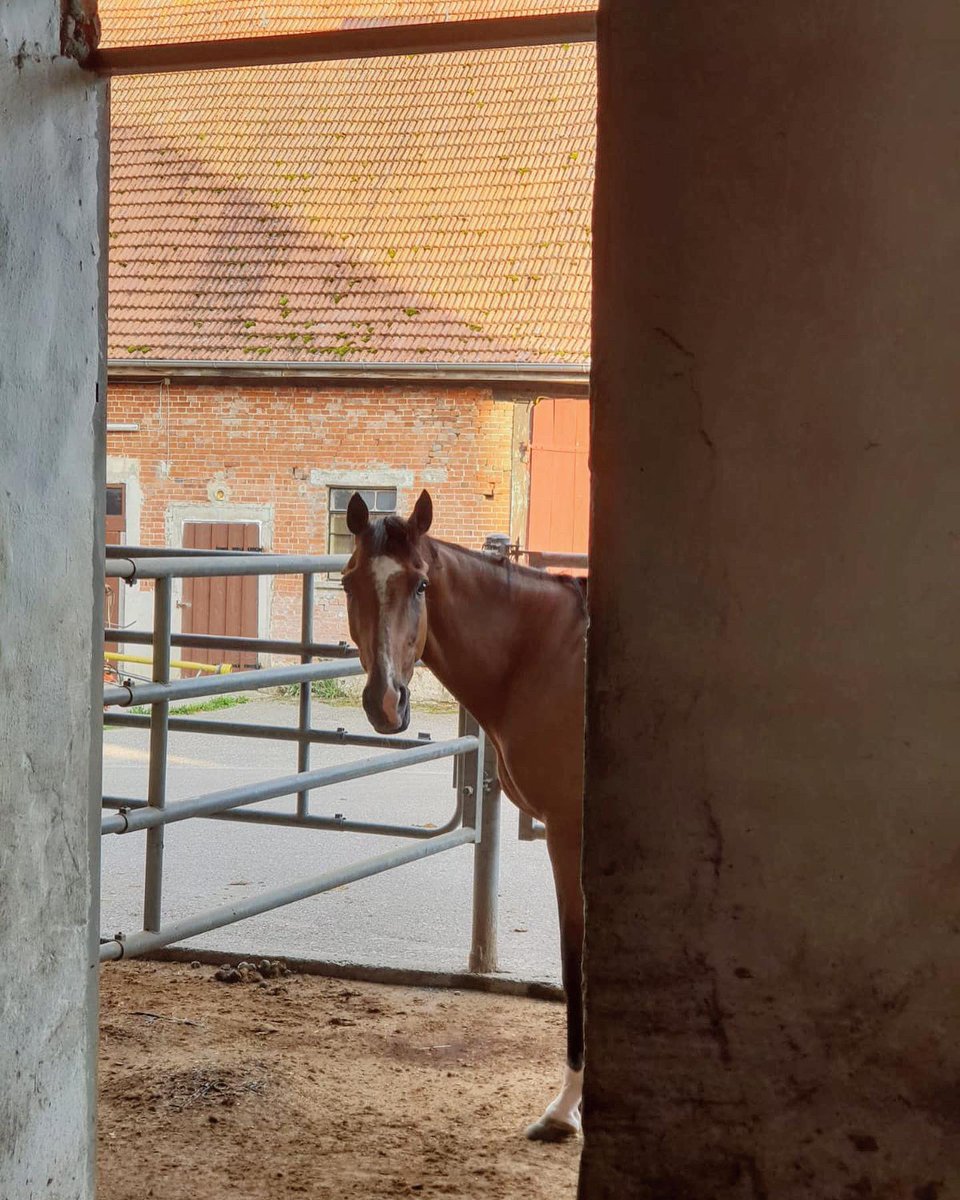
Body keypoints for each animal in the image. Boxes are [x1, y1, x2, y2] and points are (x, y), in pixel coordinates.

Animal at [341, 489, 587, 1141]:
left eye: (421, 584)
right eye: (348, 582)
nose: (386, 702)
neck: (544, 655)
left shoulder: (570, 834)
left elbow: (575, 960)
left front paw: (563, 1108)